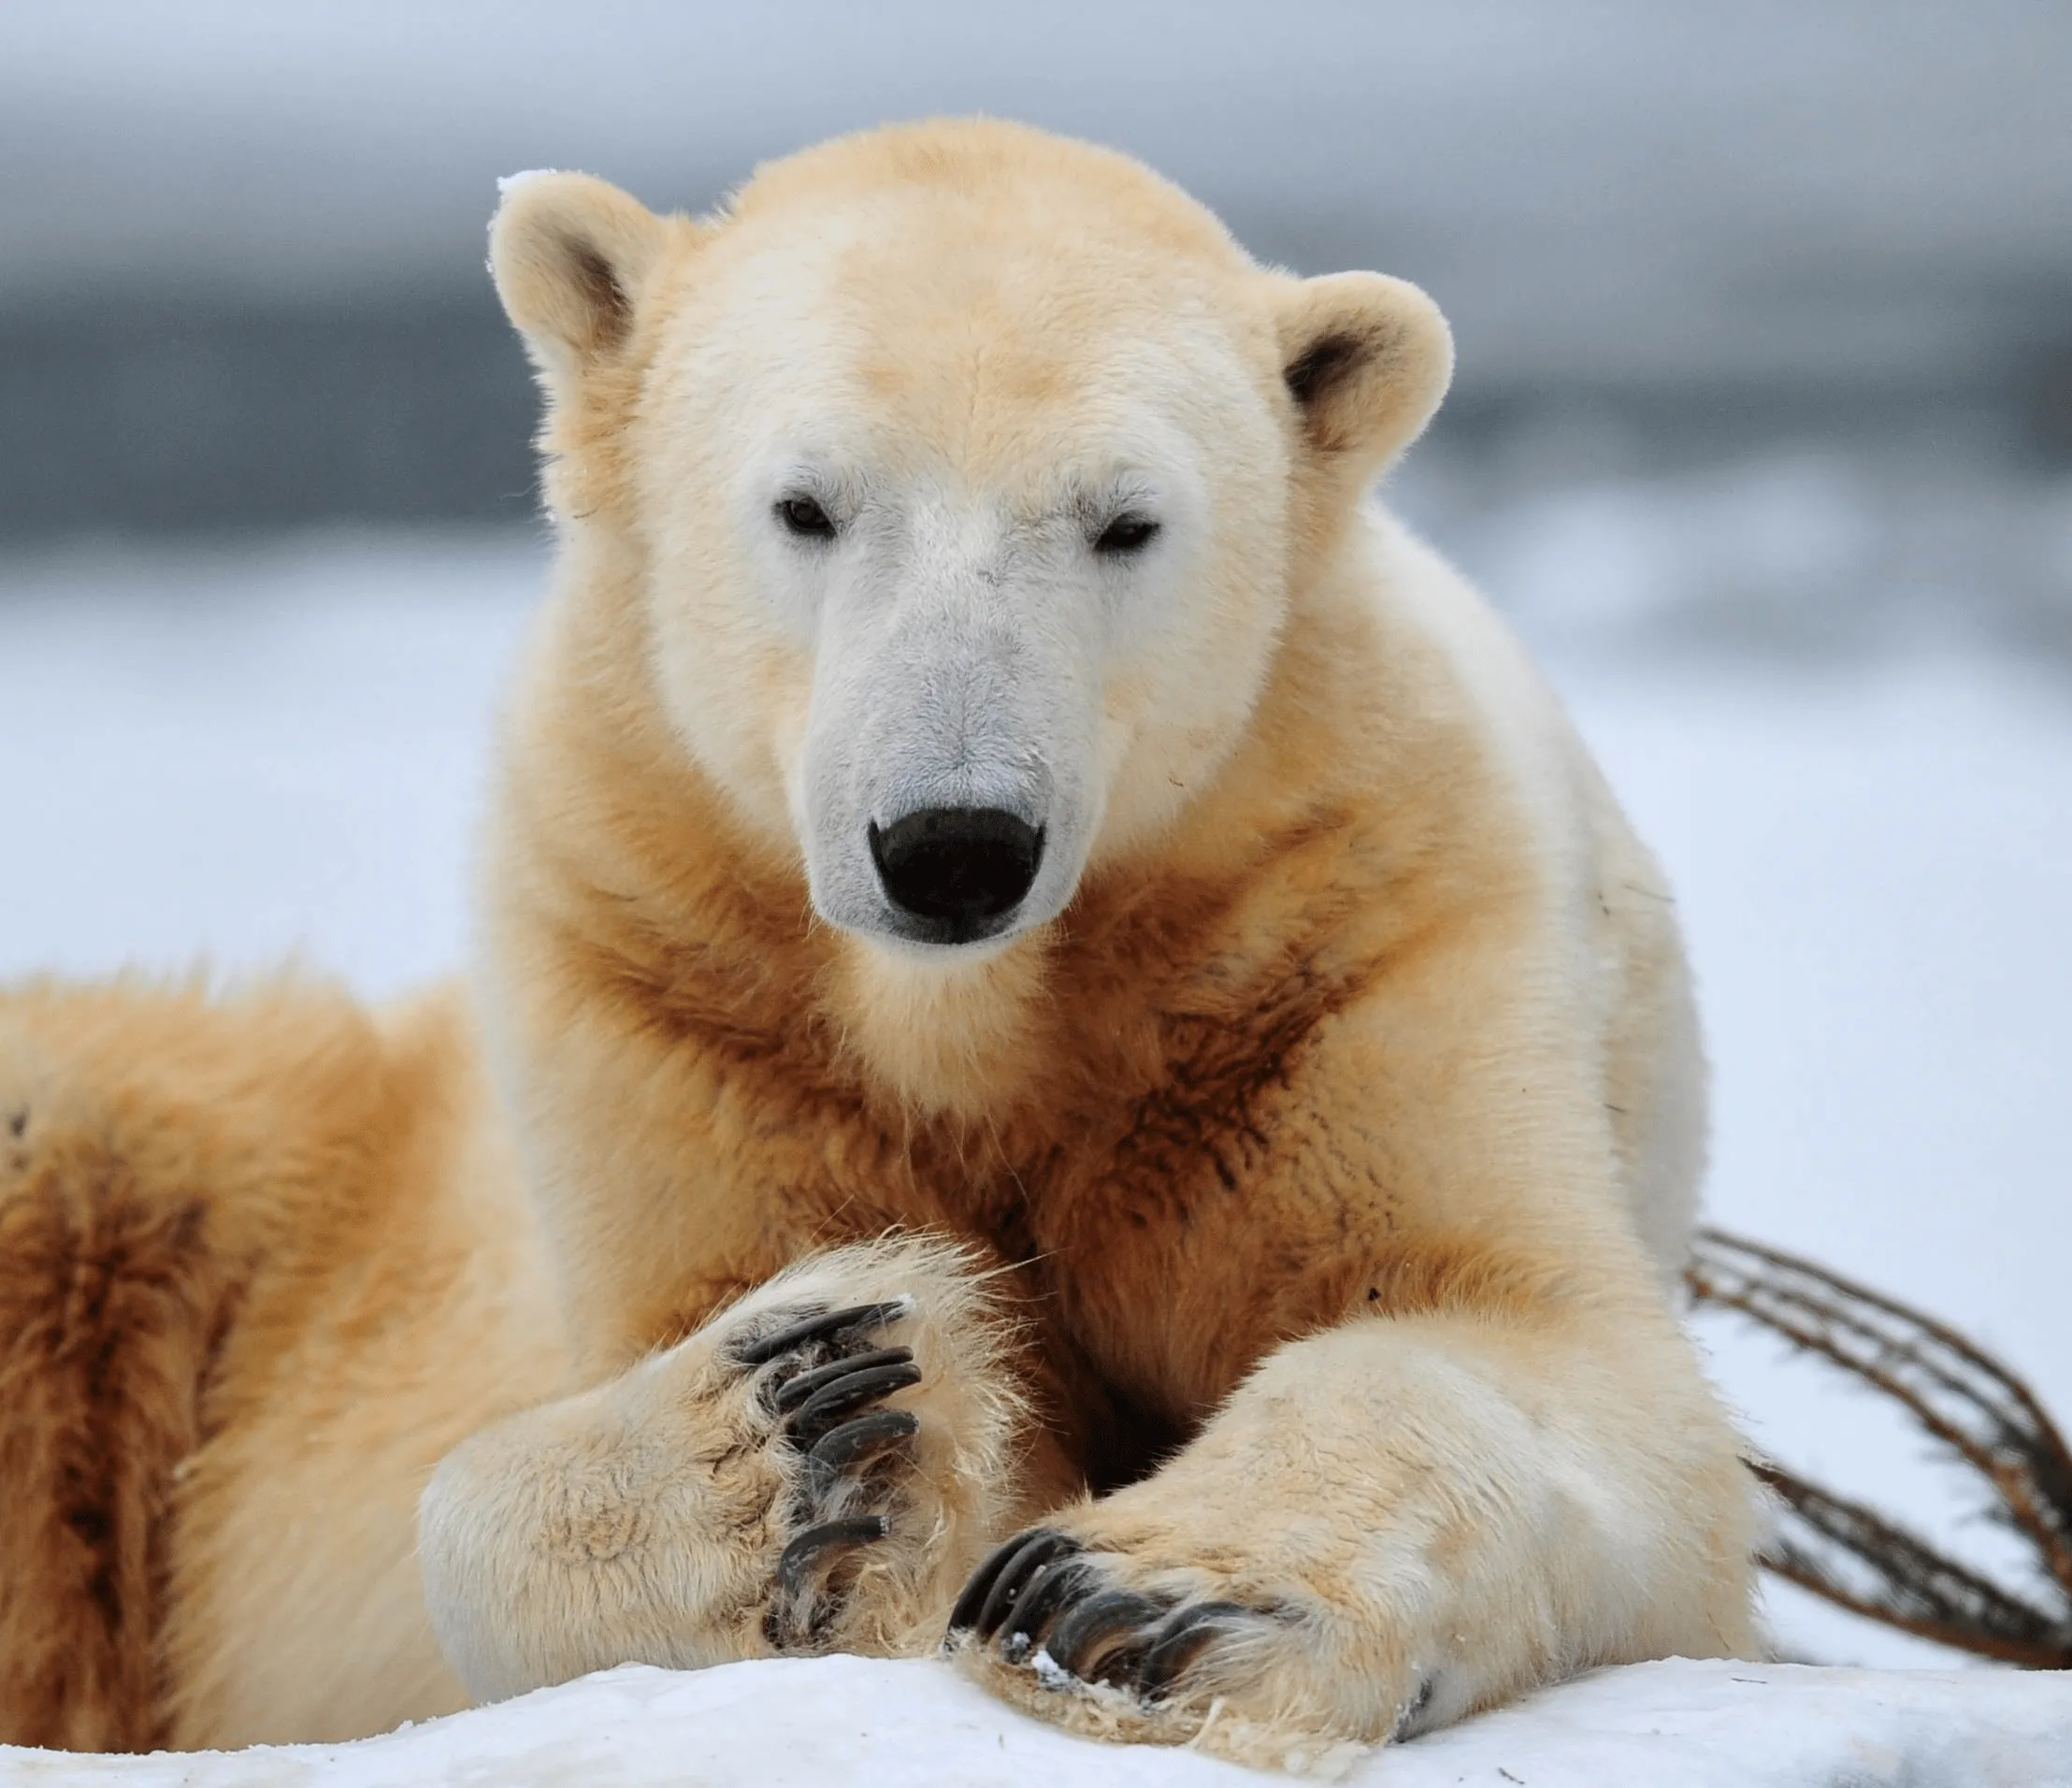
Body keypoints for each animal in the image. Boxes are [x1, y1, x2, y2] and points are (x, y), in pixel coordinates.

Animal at [0, 119, 1748, 1765]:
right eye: (806, 505)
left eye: (1125, 523)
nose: (954, 842)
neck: (972, 1013)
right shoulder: (667, 989)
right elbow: (573, 1411)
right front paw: (811, 1431)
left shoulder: (1335, 940)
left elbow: (1522, 1333)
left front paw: (1126, 1599)